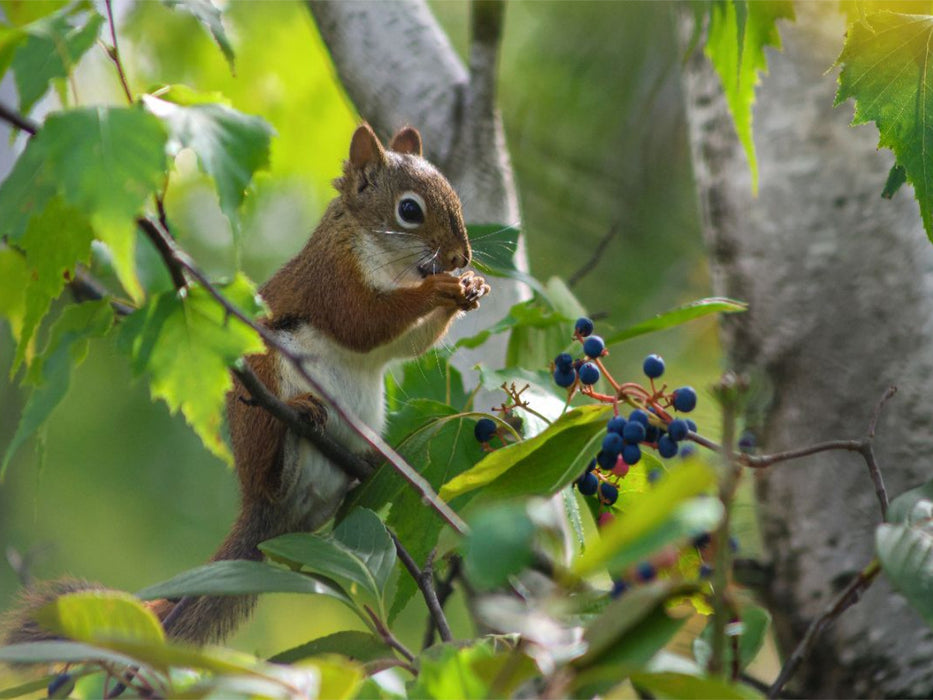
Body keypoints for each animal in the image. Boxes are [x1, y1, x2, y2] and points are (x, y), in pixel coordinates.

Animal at [2, 123, 489, 648]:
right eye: (410, 211)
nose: (460, 256)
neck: (380, 255)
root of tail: (259, 506)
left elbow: (406, 343)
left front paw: (469, 288)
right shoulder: (330, 278)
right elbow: (363, 322)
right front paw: (440, 290)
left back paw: (372, 460)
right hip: (266, 390)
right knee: (274, 476)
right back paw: (298, 424)